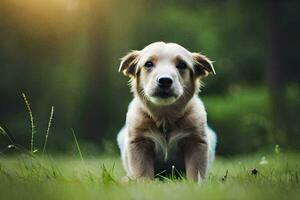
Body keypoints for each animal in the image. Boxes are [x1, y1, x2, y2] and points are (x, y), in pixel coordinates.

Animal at [116, 41, 217, 182]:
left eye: (182, 64)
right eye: (148, 64)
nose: (165, 80)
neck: (165, 117)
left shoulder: (196, 141)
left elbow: (195, 172)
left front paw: (194, 185)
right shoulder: (139, 142)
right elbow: (142, 172)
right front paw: (145, 184)